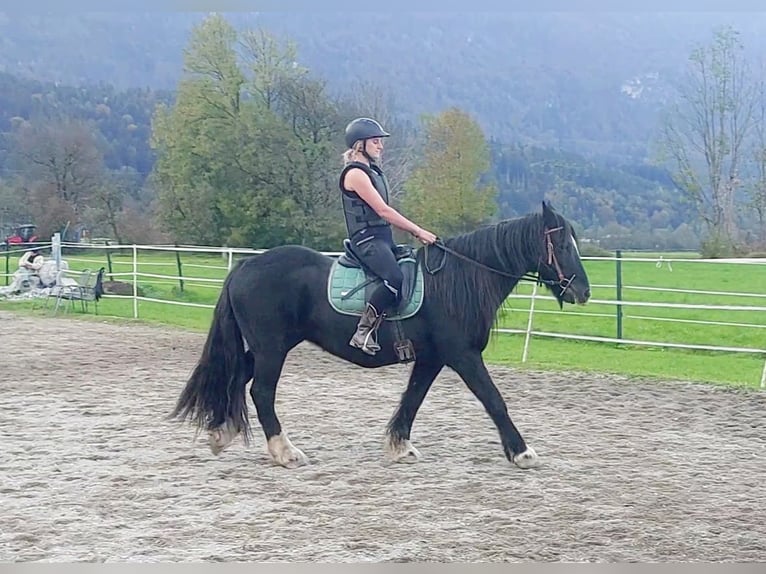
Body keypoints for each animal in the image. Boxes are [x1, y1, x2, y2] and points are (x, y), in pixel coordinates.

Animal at [172, 202, 592, 472]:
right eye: (562, 244)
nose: (583, 291)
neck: (458, 279)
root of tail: (246, 265)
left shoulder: (433, 357)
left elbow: (413, 398)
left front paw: (399, 445)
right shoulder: (462, 355)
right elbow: (494, 400)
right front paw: (521, 453)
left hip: (264, 347)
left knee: (235, 377)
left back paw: (220, 433)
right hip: (272, 348)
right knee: (261, 392)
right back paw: (285, 452)